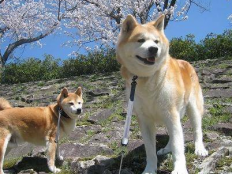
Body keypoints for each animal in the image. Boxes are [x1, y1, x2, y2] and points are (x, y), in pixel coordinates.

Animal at [117, 14, 208, 174]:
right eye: (140, 40)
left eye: (156, 41)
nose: (154, 49)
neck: (146, 78)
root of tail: (184, 61)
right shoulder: (145, 119)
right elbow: (150, 150)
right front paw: (150, 169)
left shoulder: (171, 113)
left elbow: (178, 146)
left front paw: (179, 169)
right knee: (173, 135)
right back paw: (166, 148)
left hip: (192, 108)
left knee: (196, 130)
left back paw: (199, 149)